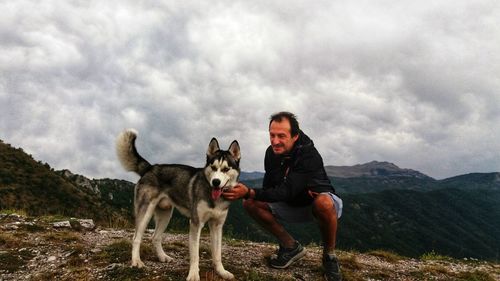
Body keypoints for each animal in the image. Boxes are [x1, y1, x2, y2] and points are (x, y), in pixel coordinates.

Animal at [117, 130, 242, 280]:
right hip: (145, 212)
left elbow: (217, 254)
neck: (214, 198)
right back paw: (136, 261)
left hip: (165, 214)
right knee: (136, 238)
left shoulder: (217, 225)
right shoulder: (195, 223)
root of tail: (151, 167)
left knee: (155, 237)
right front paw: (193, 274)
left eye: (226, 169)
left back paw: (162, 257)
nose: (216, 182)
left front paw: (221, 271)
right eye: (213, 167)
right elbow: (195, 255)